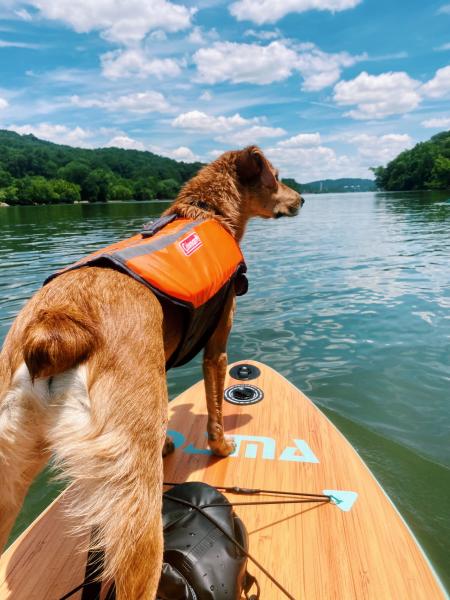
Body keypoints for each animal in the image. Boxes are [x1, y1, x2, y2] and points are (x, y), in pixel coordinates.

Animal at [0, 146, 304, 600]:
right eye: (277, 177)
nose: (302, 199)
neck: (207, 212)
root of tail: (56, 327)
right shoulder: (217, 347)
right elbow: (215, 407)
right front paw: (222, 447)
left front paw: (168, 446)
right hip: (136, 507)